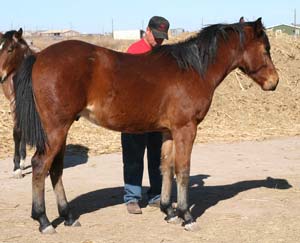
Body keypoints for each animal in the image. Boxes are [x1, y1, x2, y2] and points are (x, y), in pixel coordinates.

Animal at [7, 17, 278, 234]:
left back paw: (68, 216)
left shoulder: (169, 132)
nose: (274, 81)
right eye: (265, 48)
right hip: (55, 130)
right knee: (40, 165)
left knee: (56, 169)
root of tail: (39, 56)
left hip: (60, 131)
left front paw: (169, 211)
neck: (192, 69)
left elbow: (166, 167)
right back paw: (44, 221)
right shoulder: (186, 129)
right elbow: (183, 170)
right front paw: (186, 216)